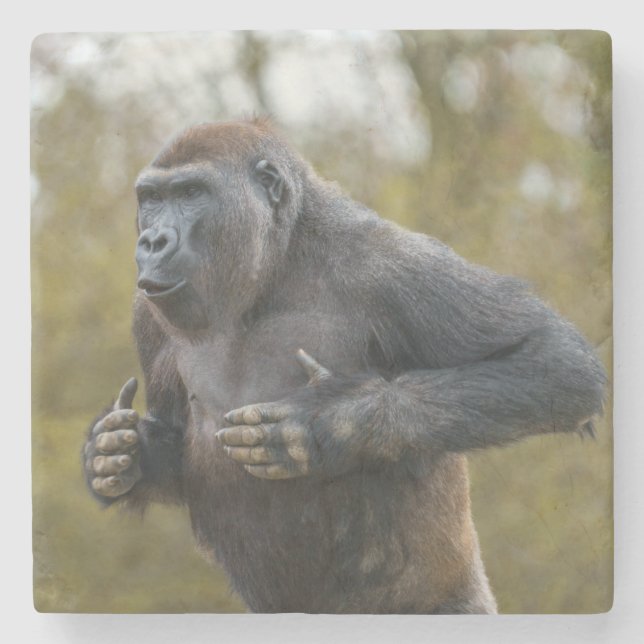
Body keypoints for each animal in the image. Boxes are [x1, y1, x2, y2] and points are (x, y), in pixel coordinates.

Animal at [82, 118, 605, 614]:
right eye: (152, 199)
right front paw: (120, 452)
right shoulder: (145, 314)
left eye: (192, 193)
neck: (276, 265)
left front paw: (326, 423)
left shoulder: (391, 263)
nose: (152, 240)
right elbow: (172, 444)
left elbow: (556, 361)